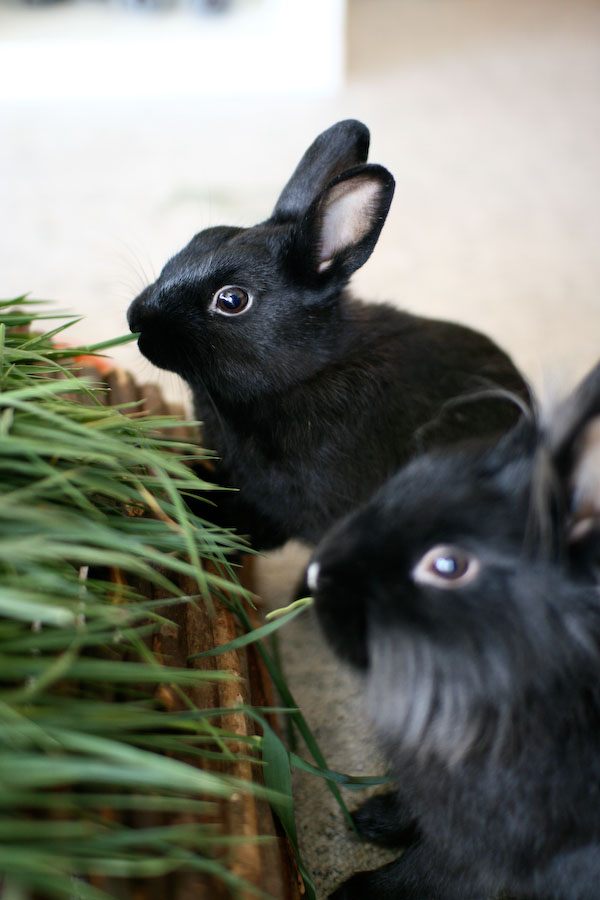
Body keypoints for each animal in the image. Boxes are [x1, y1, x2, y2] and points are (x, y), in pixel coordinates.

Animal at [307, 359, 600, 900]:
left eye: (448, 565)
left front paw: (357, 892)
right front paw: (374, 817)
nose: (317, 575)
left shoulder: (492, 838)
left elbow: (432, 870)